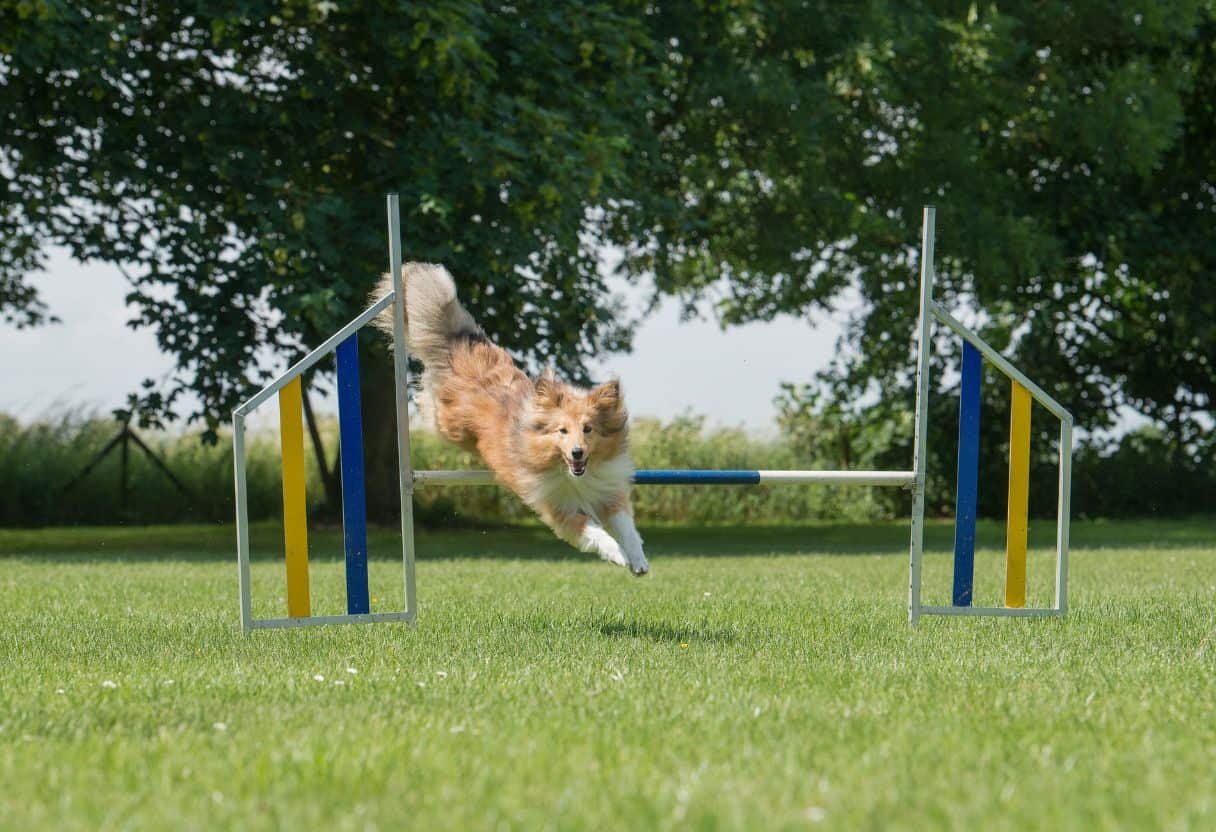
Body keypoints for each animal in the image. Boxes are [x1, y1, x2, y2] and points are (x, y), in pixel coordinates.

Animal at [374, 262, 651, 574]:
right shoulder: (560, 509)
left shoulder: (608, 490)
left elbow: (626, 526)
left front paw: (638, 559)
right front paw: (619, 555)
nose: (578, 453)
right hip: (451, 426)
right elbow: (596, 533)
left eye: (588, 429)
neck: (570, 473)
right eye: (562, 431)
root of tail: (463, 348)